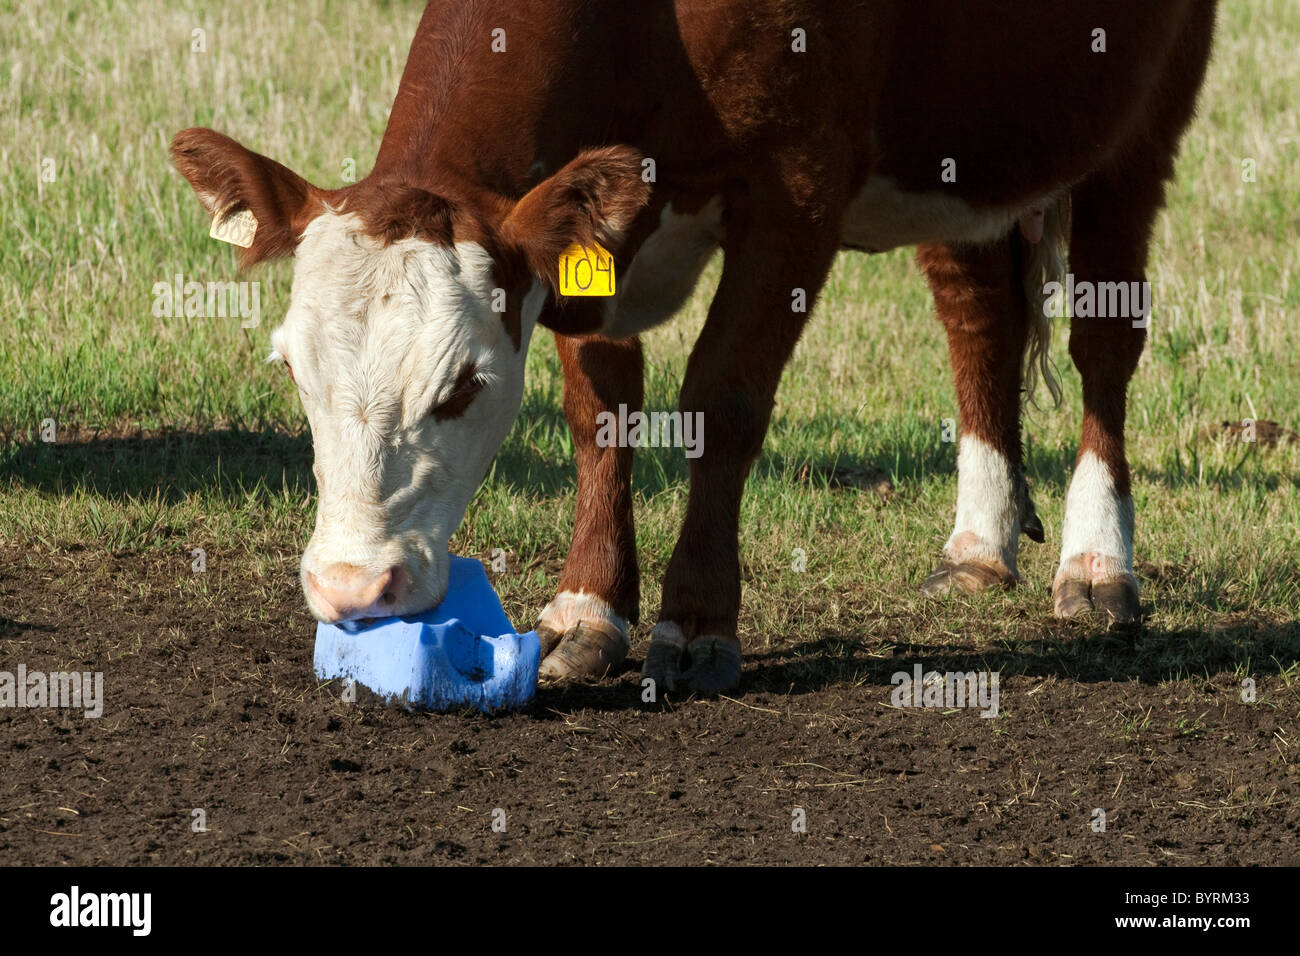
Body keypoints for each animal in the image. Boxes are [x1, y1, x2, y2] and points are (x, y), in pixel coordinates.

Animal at [170, 0, 1216, 691]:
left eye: (464, 385)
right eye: (294, 371)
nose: (352, 586)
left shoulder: (797, 186)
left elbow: (724, 396)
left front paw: (698, 618)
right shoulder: (588, 236)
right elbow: (601, 412)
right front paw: (588, 606)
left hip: (1141, 119)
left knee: (1106, 341)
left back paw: (1099, 560)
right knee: (976, 314)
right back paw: (979, 540)